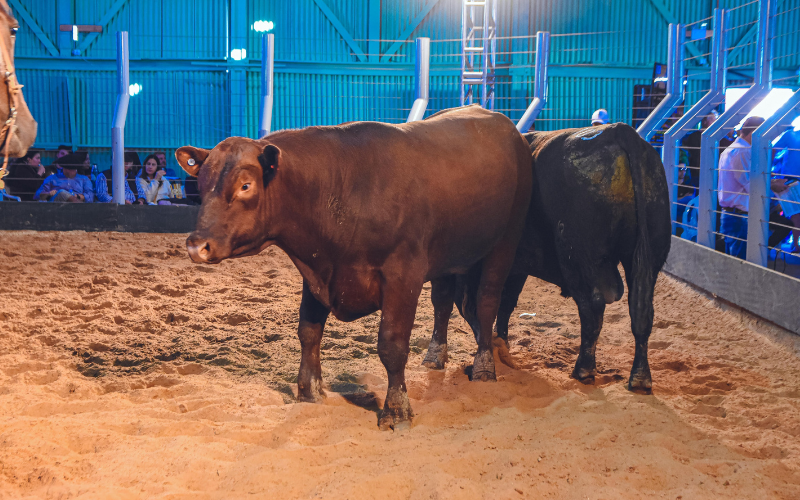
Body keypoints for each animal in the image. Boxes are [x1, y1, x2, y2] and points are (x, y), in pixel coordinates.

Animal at [175, 106, 532, 430]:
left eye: (246, 185)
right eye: (201, 183)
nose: (196, 245)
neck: (343, 192)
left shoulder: (403, 275)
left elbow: (392, 344)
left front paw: (396, 410)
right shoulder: (316, 273)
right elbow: (308, 332)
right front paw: (309, 391)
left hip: (506, 241)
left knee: (486, 302)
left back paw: (484, 366)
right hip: (447, 255)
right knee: (443, 302)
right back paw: (435, 356)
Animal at [422, 123, 672, 392]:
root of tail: (617, 131)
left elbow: (461, 303)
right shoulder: (515, 268)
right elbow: (504, 303)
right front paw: (501, 343)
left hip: (579, 258)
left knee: (592, 307)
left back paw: (584, 369)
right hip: (647, 259)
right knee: (641, 313)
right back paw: (640, 378)